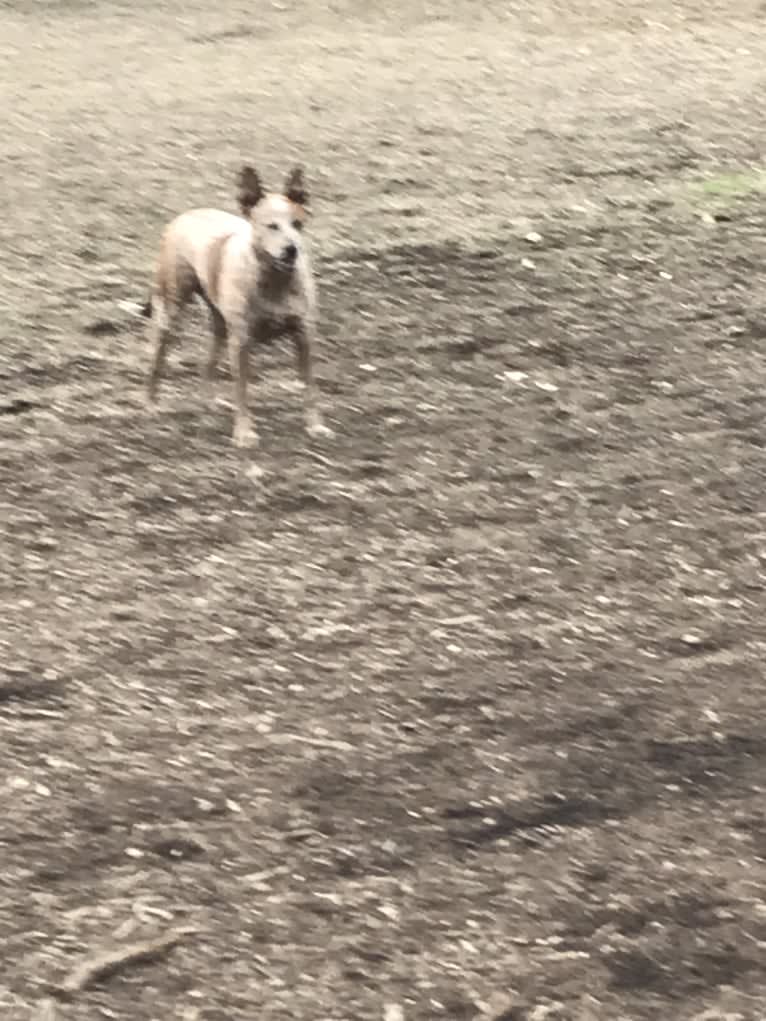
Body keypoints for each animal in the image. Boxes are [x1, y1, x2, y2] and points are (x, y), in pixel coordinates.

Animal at [142, 166, 332, 447]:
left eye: (298, 224)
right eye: (272, 226)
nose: (292, 249)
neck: (275, 282)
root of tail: (186, 215)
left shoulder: (304, 335)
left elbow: (311, 386)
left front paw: (316, 426)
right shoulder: (241, 342)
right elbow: (241, 390)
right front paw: (244, 433)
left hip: (220, 326)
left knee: (208, 363)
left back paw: (208, 401)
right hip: (171, 309)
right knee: (157, 359)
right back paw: (151, 403)